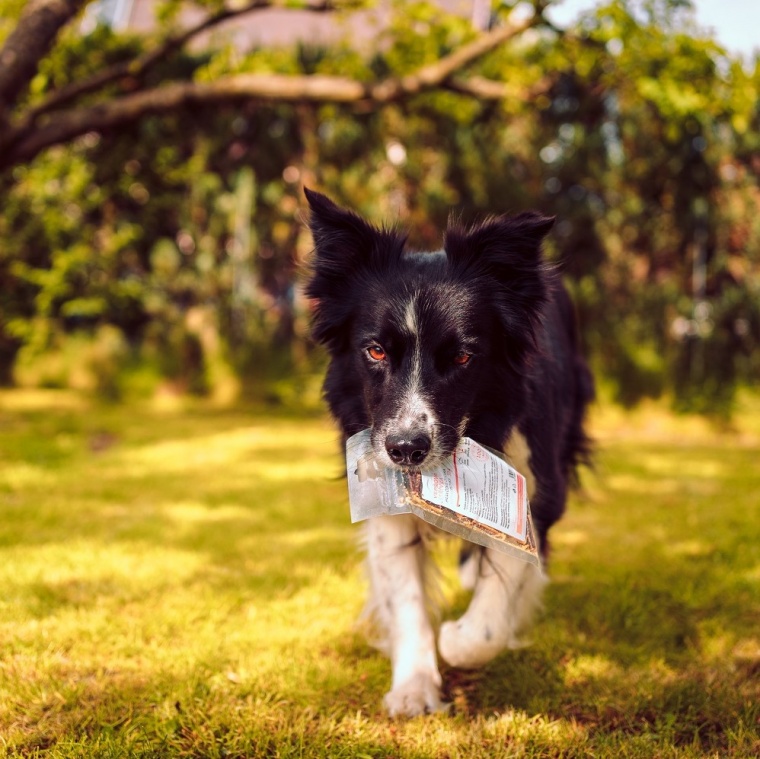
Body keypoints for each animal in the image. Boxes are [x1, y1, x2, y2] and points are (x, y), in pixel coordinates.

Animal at [302, 190, 592, 720]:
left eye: (462, 357)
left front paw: (458, 638)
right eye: (375, 351)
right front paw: (414, 689)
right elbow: (405, 593)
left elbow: (501, 590)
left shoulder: (533, 477)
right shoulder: (385, 489)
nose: (406, 450)